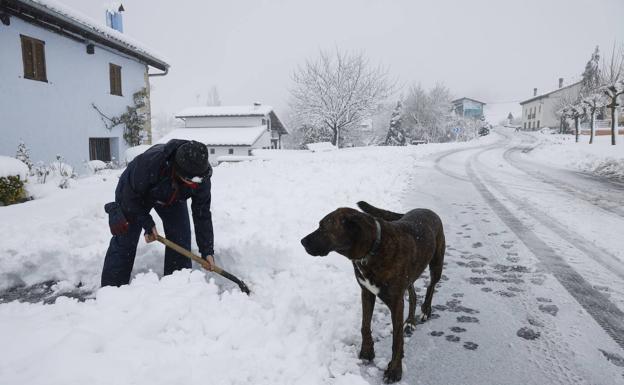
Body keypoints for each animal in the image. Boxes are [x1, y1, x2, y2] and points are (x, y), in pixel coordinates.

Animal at [302, 201, 444, 380]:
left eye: (323, 227)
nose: (302, 241)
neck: (373, 248)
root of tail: (425, 209)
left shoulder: (396, 302)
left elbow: (397, 340)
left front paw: (394, 370)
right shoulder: (367, 292)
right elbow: (365, 325)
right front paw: (367, 351)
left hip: (437, 264)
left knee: (431, 287)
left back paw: (426, 310)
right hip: (411, 275)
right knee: (412, 295)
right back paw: (410, 321)